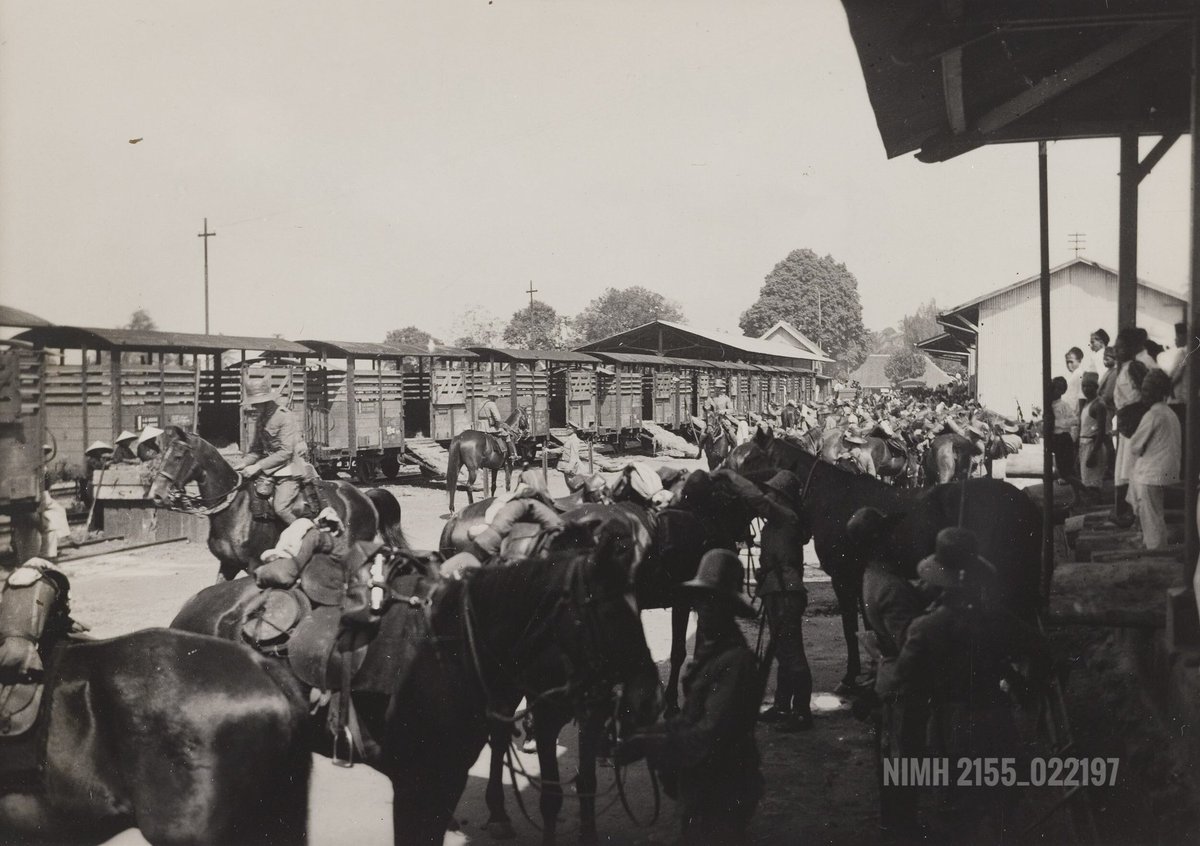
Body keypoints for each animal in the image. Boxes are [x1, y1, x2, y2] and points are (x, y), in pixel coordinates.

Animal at [145, 429, 405, 580]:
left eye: (178, 456)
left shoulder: (255, 565)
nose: (156, 494)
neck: (235, 508)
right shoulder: (227, 565)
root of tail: (364, 497)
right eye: (161, 454)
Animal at [172, 520, 662, 844]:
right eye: (604, 610)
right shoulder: (415, 782)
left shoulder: (448, 776)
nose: (646, 700)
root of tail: (191, 610)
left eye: (638, 602)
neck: (452, 652)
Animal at [724, 424, 1046, 691]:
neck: (833, 499)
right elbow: (868, 624)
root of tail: (1022, 501)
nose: (727, 484)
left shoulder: (843, 577)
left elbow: (851, 628)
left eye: (750, 459)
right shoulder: (860, 576)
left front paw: (851, 677)